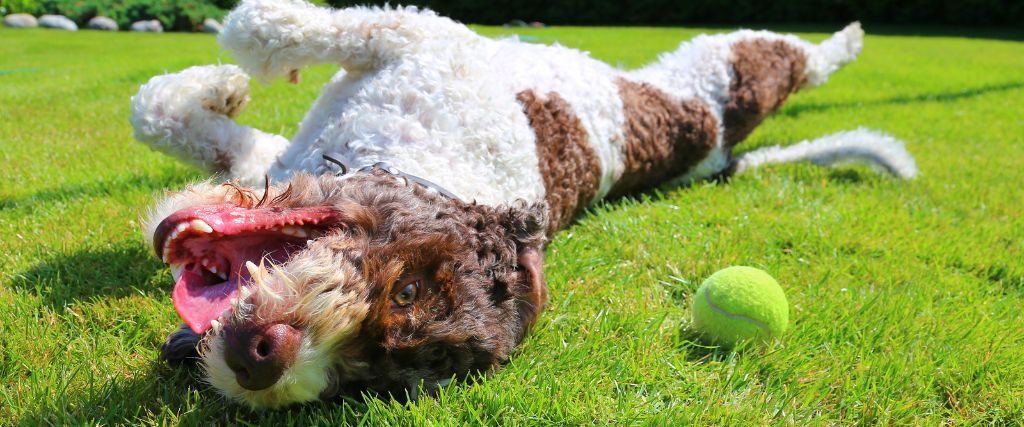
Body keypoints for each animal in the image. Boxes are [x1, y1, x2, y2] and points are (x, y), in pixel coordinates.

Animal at [130, 0, 921, 407]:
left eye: (362, 379)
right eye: (409, 287)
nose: (263, 361)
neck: (435, 164)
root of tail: (721, 147)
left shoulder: (416, 35)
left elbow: (252, 38)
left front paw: (224, 74)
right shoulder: (402, 54)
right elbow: (183, 100)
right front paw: (223, 84)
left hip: (734, 71)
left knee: (798, 58)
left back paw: (849, 37)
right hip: (703, 74)